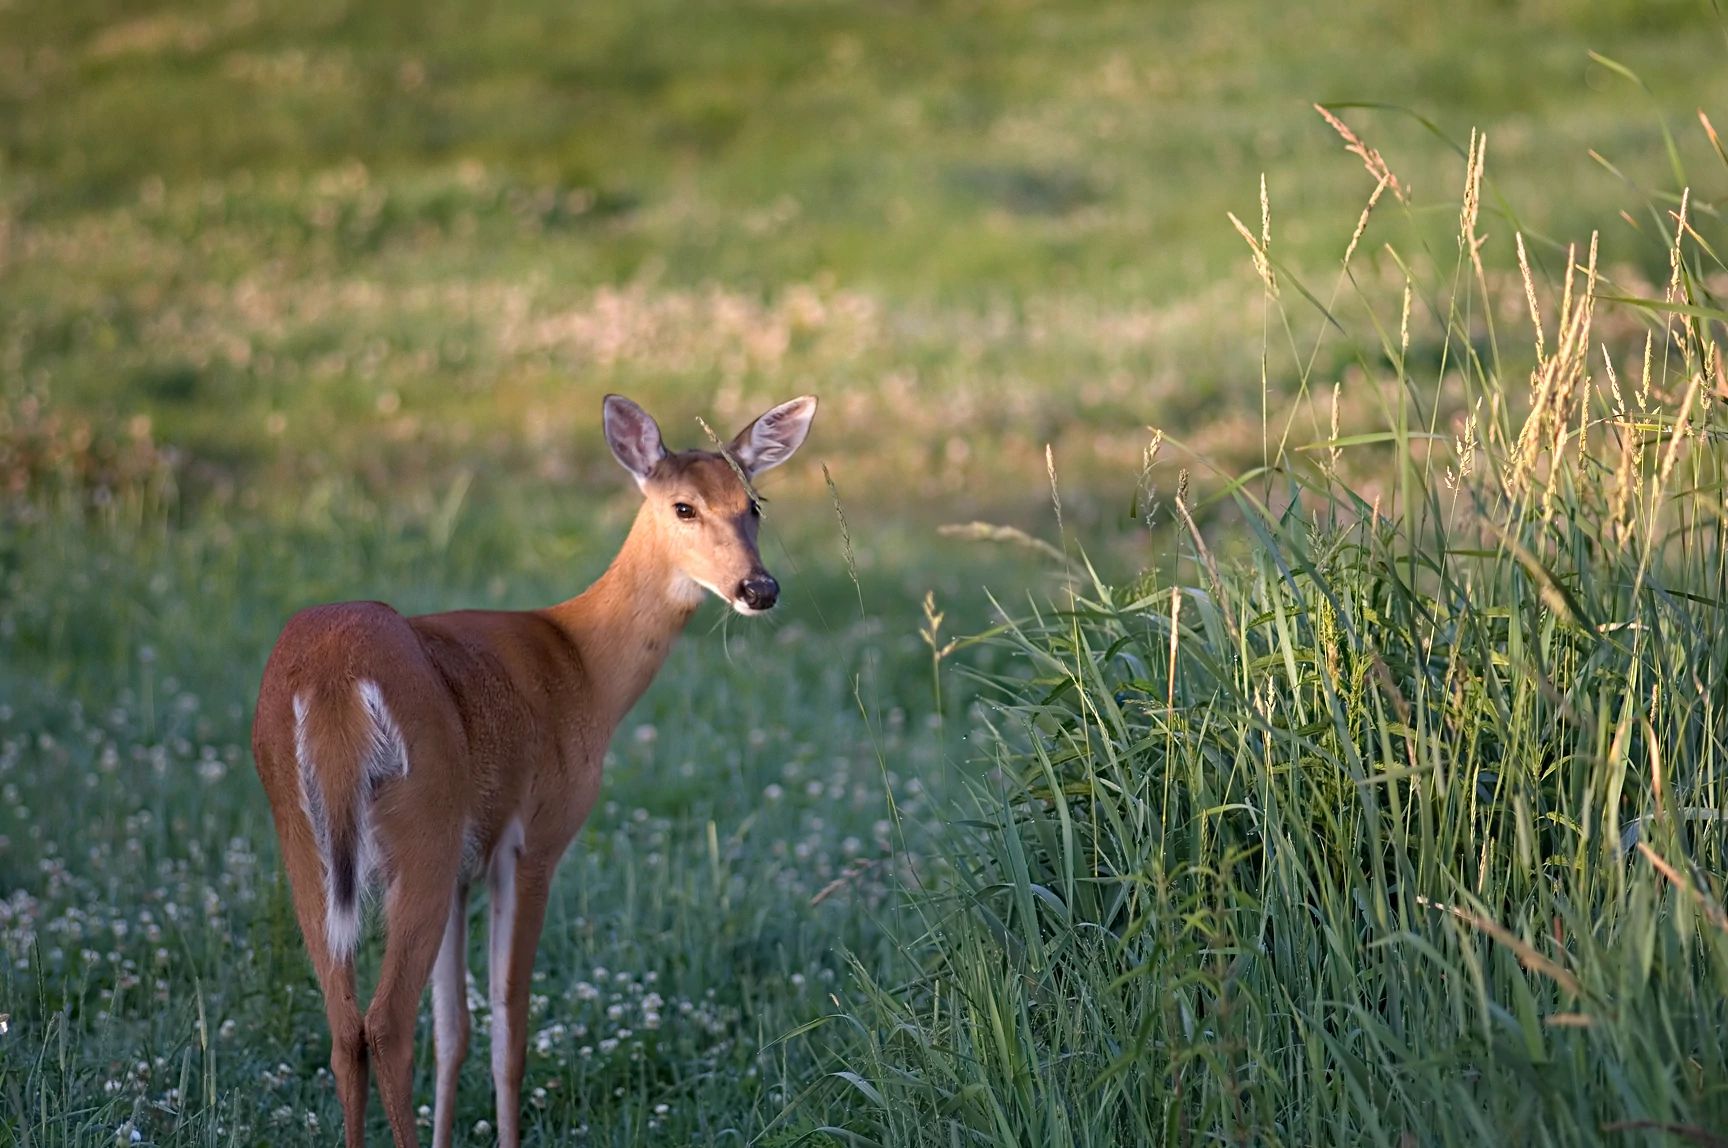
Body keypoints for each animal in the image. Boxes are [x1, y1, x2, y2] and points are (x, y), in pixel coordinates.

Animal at [252, 390, 819, 1141]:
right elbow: (508, 1029)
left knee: (346, 1026)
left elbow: (456, 1031)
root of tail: (331, 678)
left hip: (304, 835)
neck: (584, 665)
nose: (760, 588)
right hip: (424, 819)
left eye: (754, 503)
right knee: (387, 1023)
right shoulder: (534, 839)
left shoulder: (466, 869)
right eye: (684, 507)